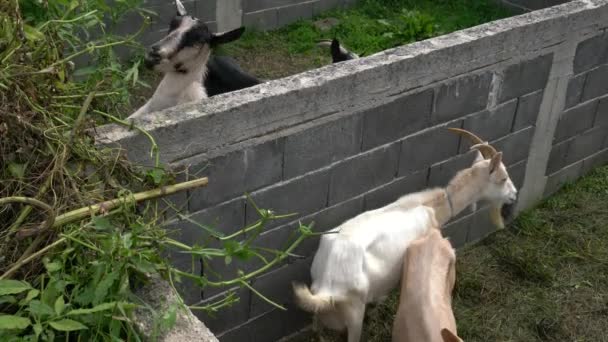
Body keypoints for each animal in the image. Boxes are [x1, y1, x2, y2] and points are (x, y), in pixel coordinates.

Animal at [294, 128, 516, 342]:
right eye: (503, 178)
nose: (513, 195)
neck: (432, 208)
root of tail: (327, 284)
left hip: (319, 310)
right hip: (354, 310)